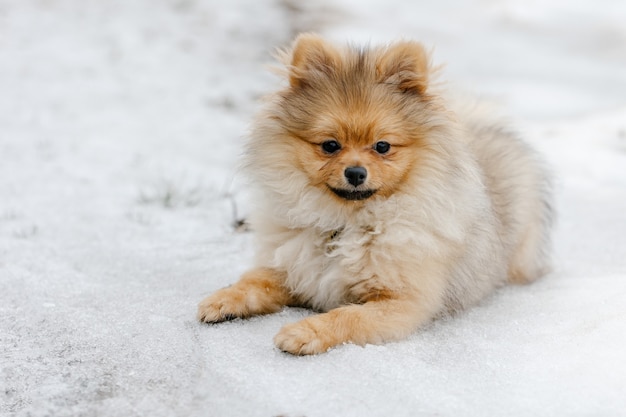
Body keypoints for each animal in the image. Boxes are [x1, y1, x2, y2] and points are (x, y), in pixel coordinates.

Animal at [196, 33, 552, 354]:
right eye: (330, 145)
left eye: (382, 146)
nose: (356, 173)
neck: (346, 224)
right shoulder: (291, 267)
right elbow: (255, 280)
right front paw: (224, 299)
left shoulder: (401, 301)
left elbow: (348, 316)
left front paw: (304, 332)